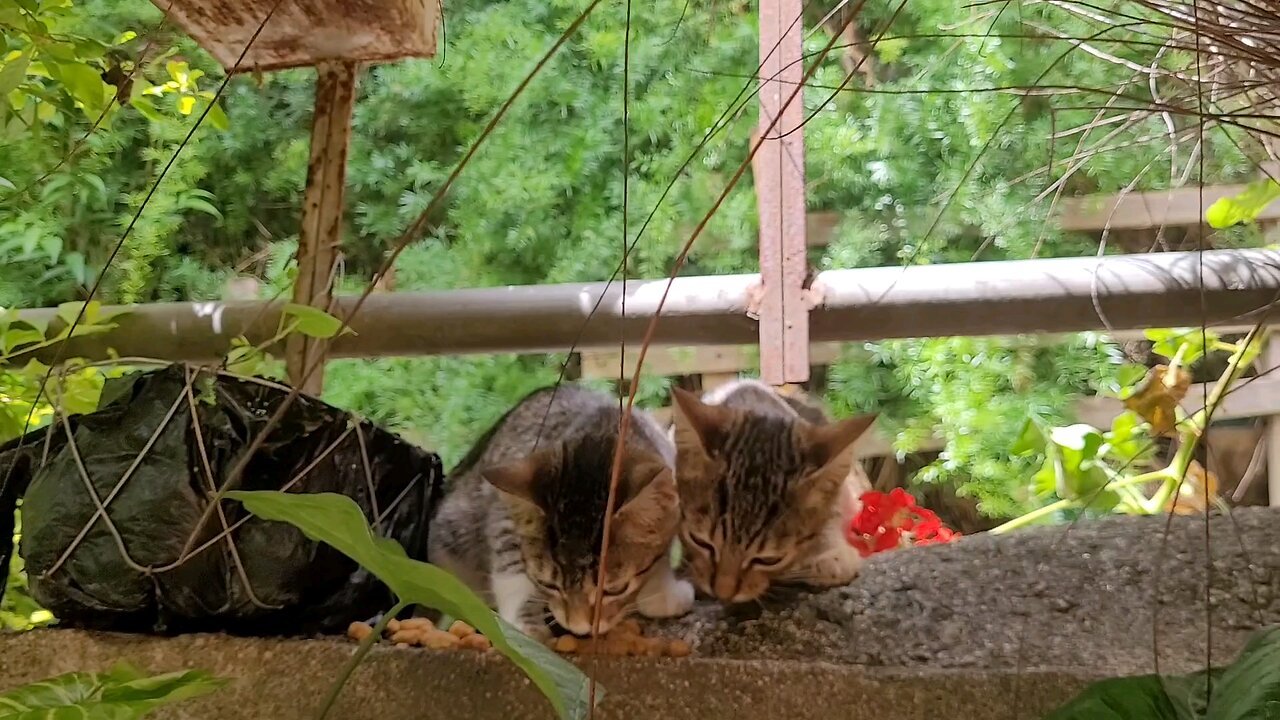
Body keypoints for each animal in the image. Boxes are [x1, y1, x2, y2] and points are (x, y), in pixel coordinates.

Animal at [427, 384, 691, 635]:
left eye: (615, 589)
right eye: (548, 585)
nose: (580, 628)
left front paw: (662, 594)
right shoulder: (503, 517)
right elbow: (511, 565)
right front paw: (524, 625)